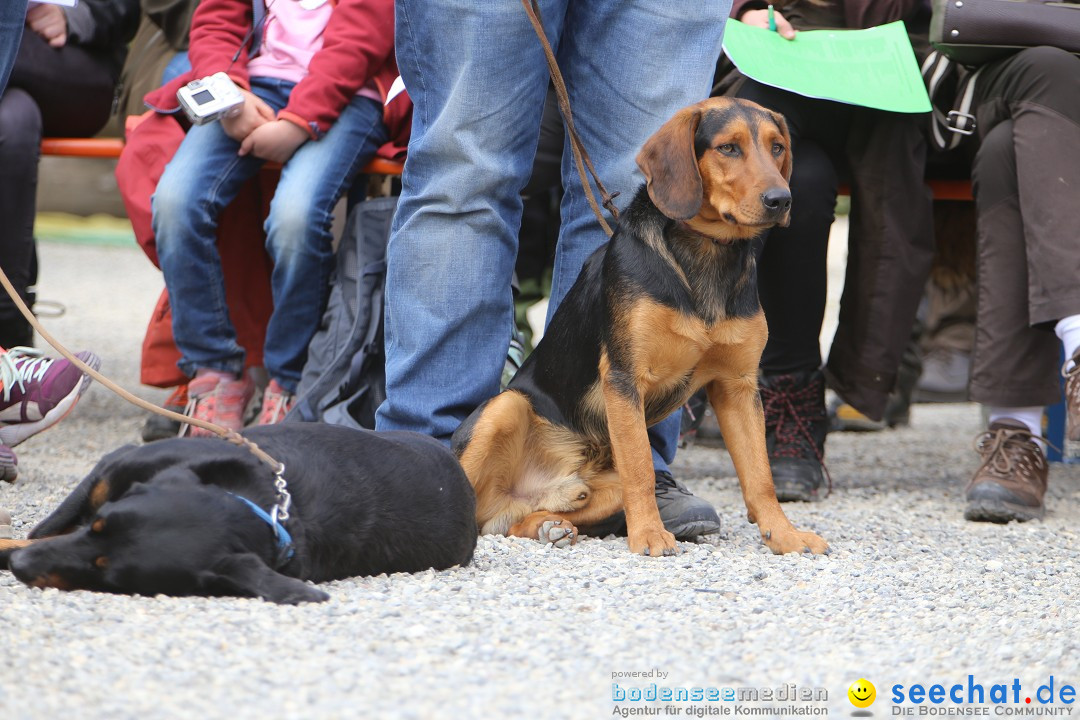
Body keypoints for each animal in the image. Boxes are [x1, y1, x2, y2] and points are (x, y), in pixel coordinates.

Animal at [0, 425, 477, 604]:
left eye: (109, 576)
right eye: (99, 526)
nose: (21, 566)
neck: (265, 507)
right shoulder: (105, 472)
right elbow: (45, 529)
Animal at [451, 97, 829, 557]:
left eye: (777, 148)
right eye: (728, 148)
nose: (781, 199)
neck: (707, 255)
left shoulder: (738, 386)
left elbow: (760, 477)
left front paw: (785, 534)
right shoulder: (624, 377)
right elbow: (642, 470)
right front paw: (649, 534)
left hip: (587, 493)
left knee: (509, 520)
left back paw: (549, 526)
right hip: (505, 406)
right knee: (474, 504)